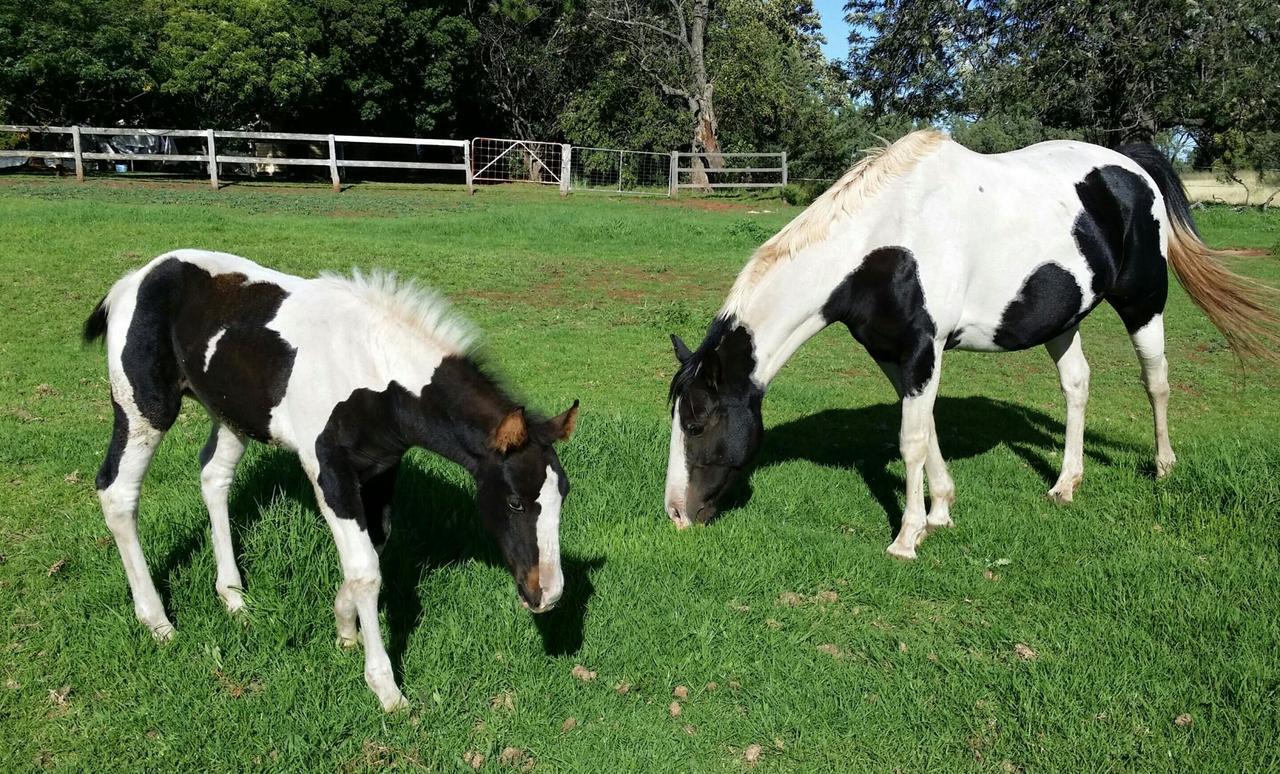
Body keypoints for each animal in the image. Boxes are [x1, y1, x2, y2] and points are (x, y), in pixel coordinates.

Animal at [83, 250, 576, 711]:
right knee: (117, 492)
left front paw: (344, 629)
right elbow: (365, 569)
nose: (547, 595)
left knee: (213, 477)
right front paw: (386, 689)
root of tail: (135, 278)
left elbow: (375, 544)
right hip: (145, 406)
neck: (375, 372)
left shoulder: (380, 468)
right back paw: (157, 621)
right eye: (514, 501)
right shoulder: (329, 469)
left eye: (562, 497)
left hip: (232, 414)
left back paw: (233, 597)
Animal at [665, 131, 1274, 555]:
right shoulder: (897, 356)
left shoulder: (920, 351)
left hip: (1143, 302)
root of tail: (1130, 167)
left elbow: (910, 441)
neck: (882, 244)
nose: (676, 515)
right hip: (1062, 320)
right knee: (1077, 385)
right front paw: (940, 512)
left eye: (695, 423)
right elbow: (927, 430)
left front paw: (907, 537)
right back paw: (1066, 484)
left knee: (1156, 380)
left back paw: (1164, 467)